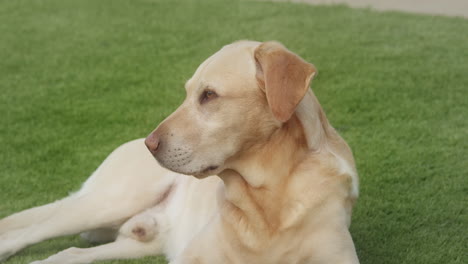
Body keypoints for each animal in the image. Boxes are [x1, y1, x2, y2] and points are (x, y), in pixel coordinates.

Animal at [0, 40, 358, 262]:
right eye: (187, 93)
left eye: (209, 95)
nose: (150, 144)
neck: (270, 198)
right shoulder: (193, 257)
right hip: (108, 202)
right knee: (26, 232)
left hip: (137, 242)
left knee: (70, 253)